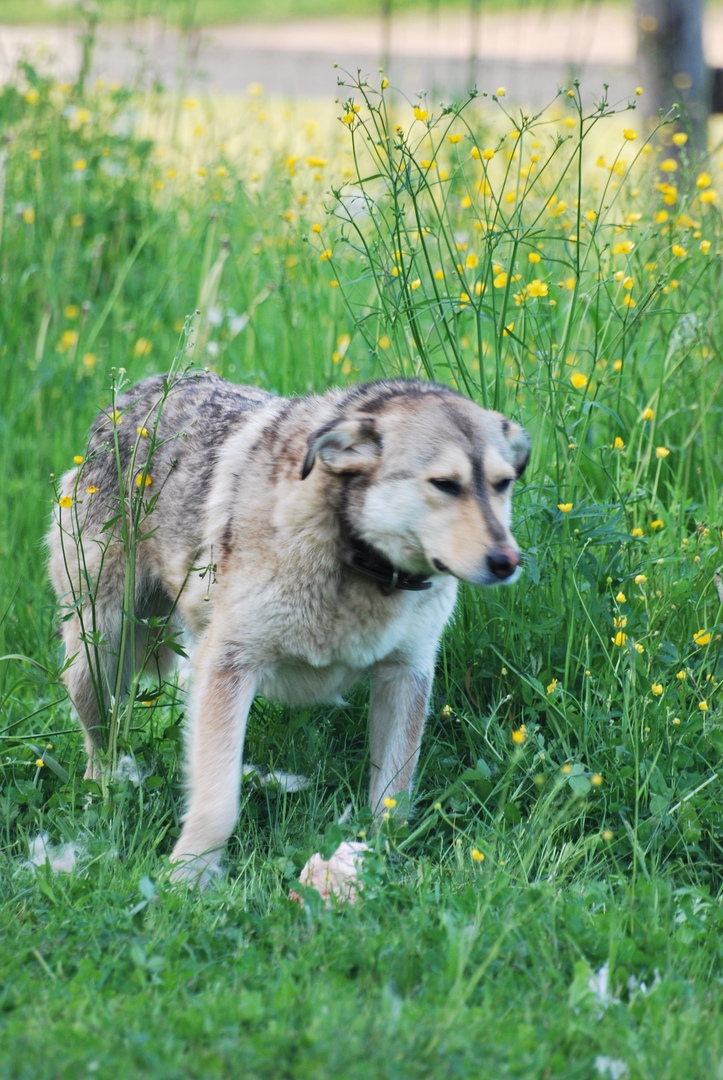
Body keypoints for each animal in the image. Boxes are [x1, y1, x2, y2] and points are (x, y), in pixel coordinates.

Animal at [48, 371, 530, 883]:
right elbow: (217, 802)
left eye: (503, 483)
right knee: (99, 750)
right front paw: (187, 877)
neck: (353, 559)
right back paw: (104, 799)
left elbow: (392, 802)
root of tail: (135, 392)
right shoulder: (228, 667)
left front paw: (378, 866)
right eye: (445, 484)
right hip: (97, 659)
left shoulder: (406, 674)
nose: (507, 562)